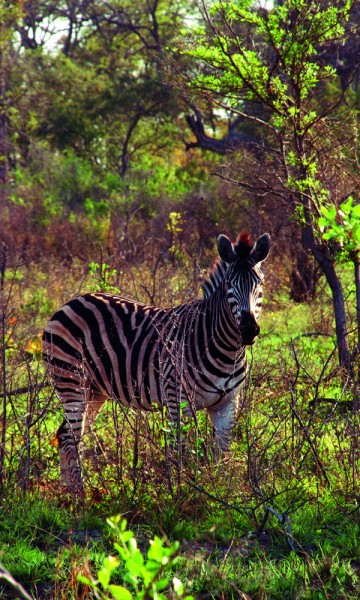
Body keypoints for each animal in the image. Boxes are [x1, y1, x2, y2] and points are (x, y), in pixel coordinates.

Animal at [43, 231, 270, 492]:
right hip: (71, 381)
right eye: (229, 285)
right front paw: (181, 491)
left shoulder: (227, 403)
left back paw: (68, 492)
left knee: (66, 435)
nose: (248, 330)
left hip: (94, 390)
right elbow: (180, 449)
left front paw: (220, 489)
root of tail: (70, 302)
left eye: (260, 284)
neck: (226, 349)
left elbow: (221, 452)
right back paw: (78, 493)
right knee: (71, 437)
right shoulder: (177, 400)